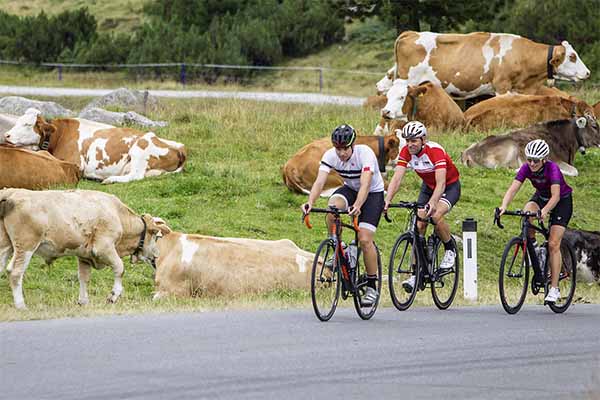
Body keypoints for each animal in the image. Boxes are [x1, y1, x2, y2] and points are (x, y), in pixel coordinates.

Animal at [3, 109, 186, 184]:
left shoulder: (76, 162)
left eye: (27, 124)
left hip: (140, 148)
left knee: (136, 175)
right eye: (17, 121)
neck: (60, 135)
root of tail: (179, 147)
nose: (6, 135)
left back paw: (110, 179)